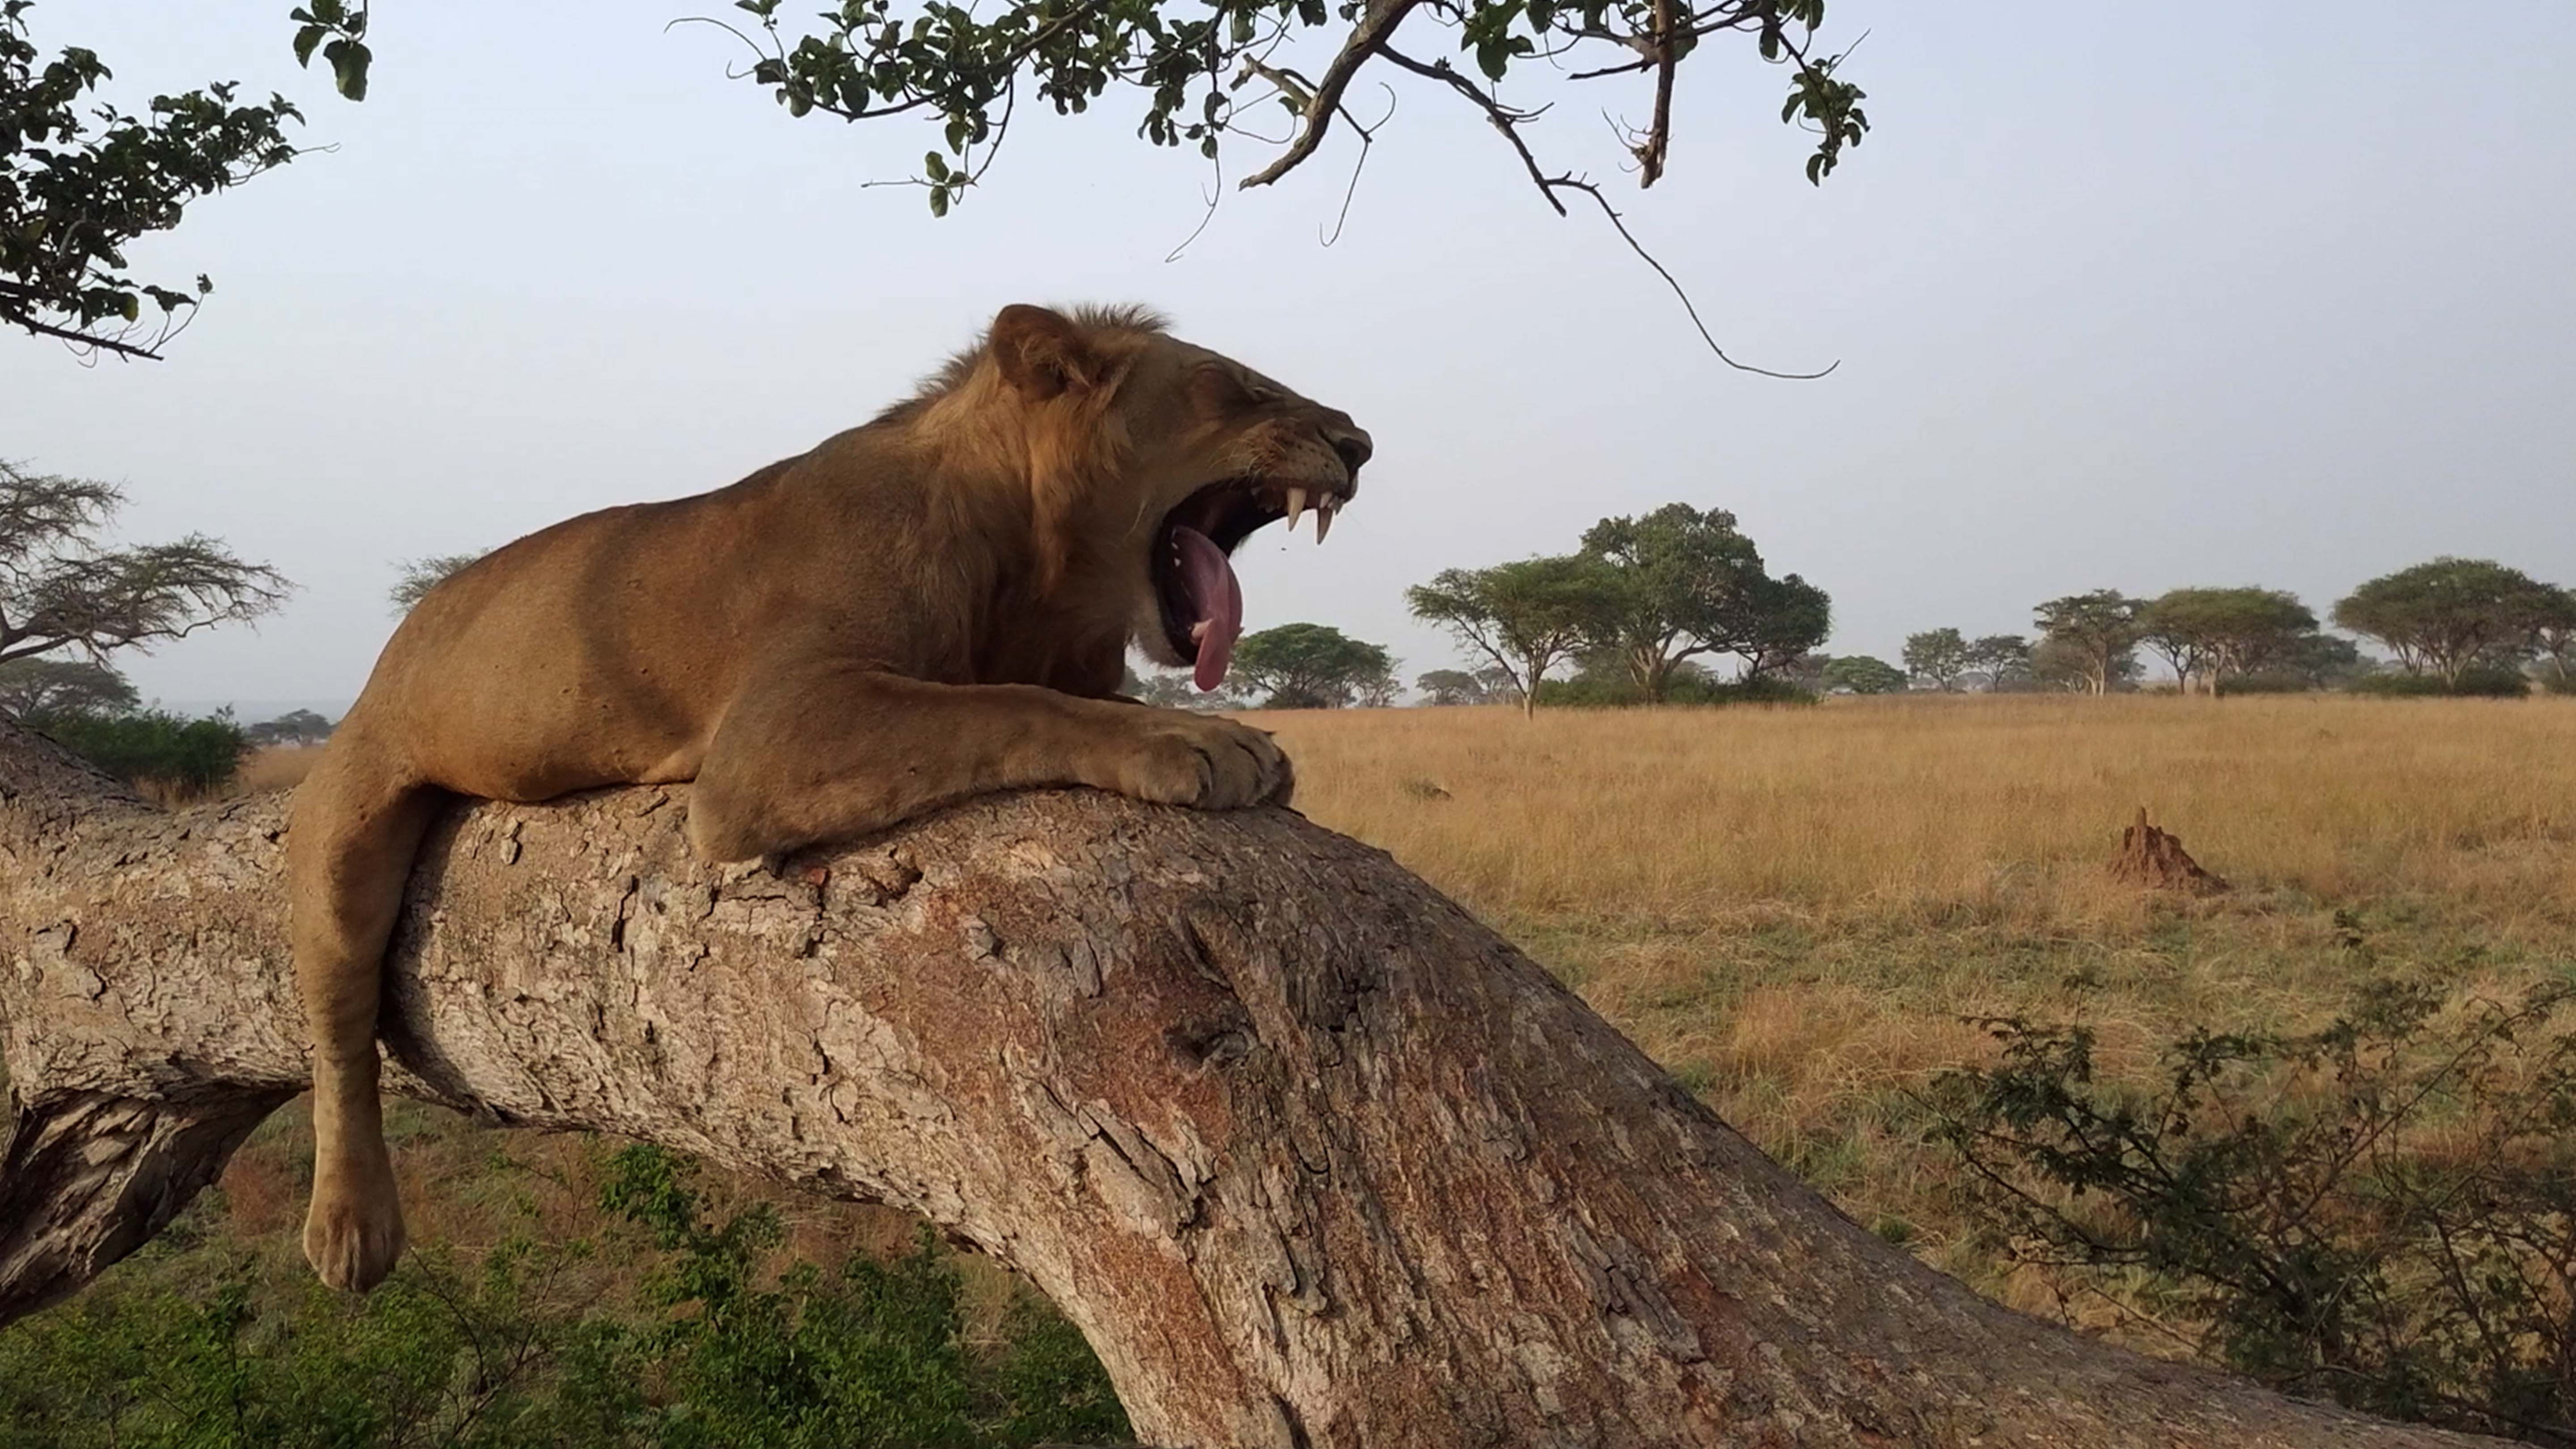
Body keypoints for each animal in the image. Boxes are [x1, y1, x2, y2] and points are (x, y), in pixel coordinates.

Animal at [287, 301, 1370, 1284]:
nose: (1359, 445)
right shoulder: (769, 737)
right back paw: (351, 1227)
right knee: (337, 1026)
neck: (1030, 564)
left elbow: (1047, 695)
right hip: (347, 817)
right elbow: (1014, 707)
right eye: (1236, 386)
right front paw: (1199, 741)